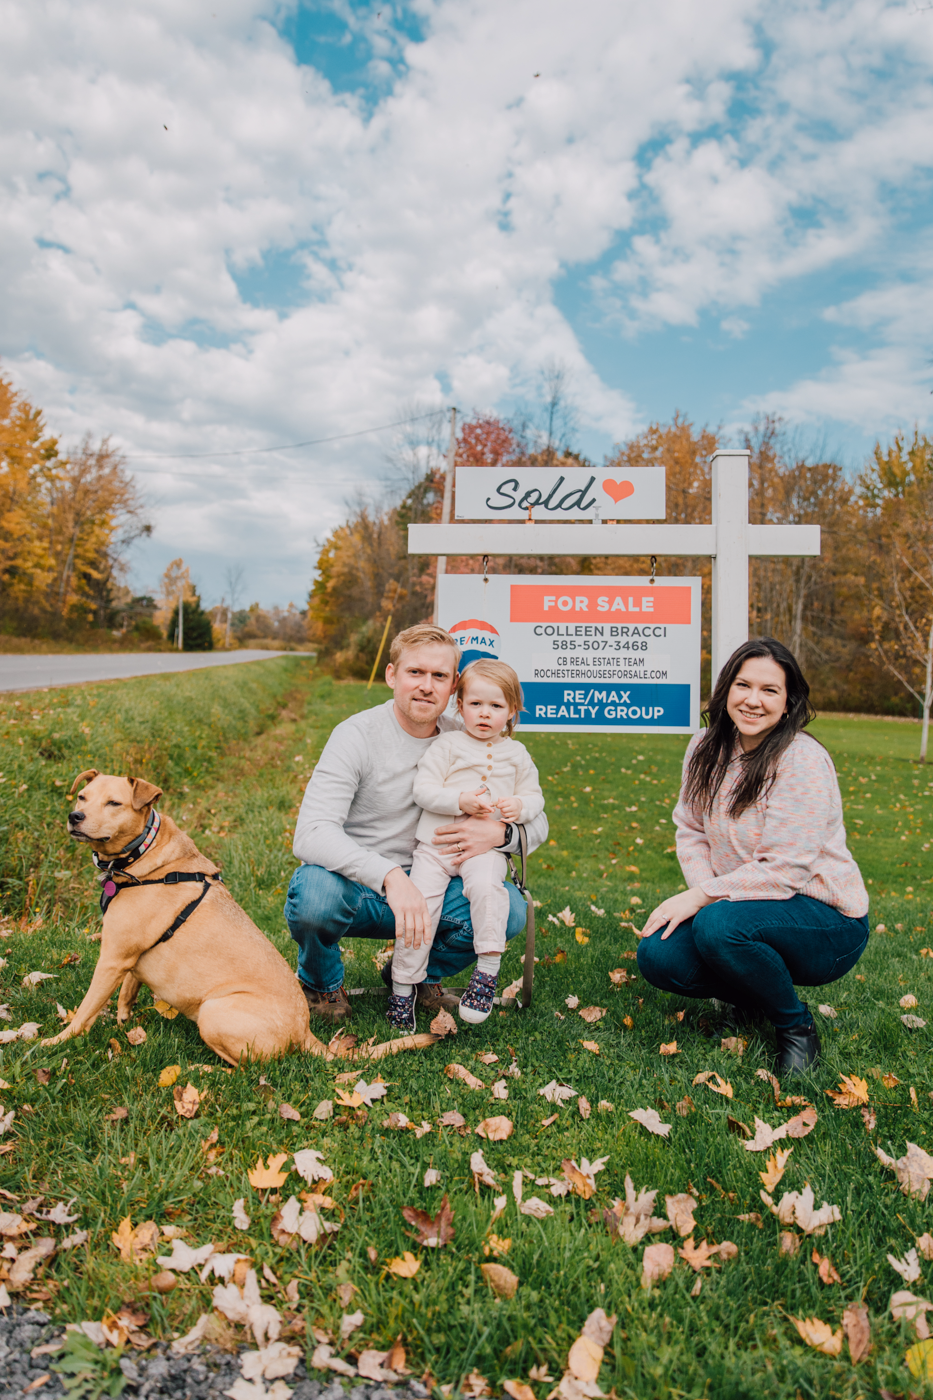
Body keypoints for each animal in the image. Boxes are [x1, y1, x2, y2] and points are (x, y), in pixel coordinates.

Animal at [43, 778, 437, 1058]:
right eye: (82, 797)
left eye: (114, 803)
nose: (75, 817)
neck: (146, 856)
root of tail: (304, 1030)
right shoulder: (129, 957)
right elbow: (128, 987)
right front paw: (124, 1017)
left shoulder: (111, 958)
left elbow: (86, 1010)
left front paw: (56, 1042)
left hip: (213, 1012)